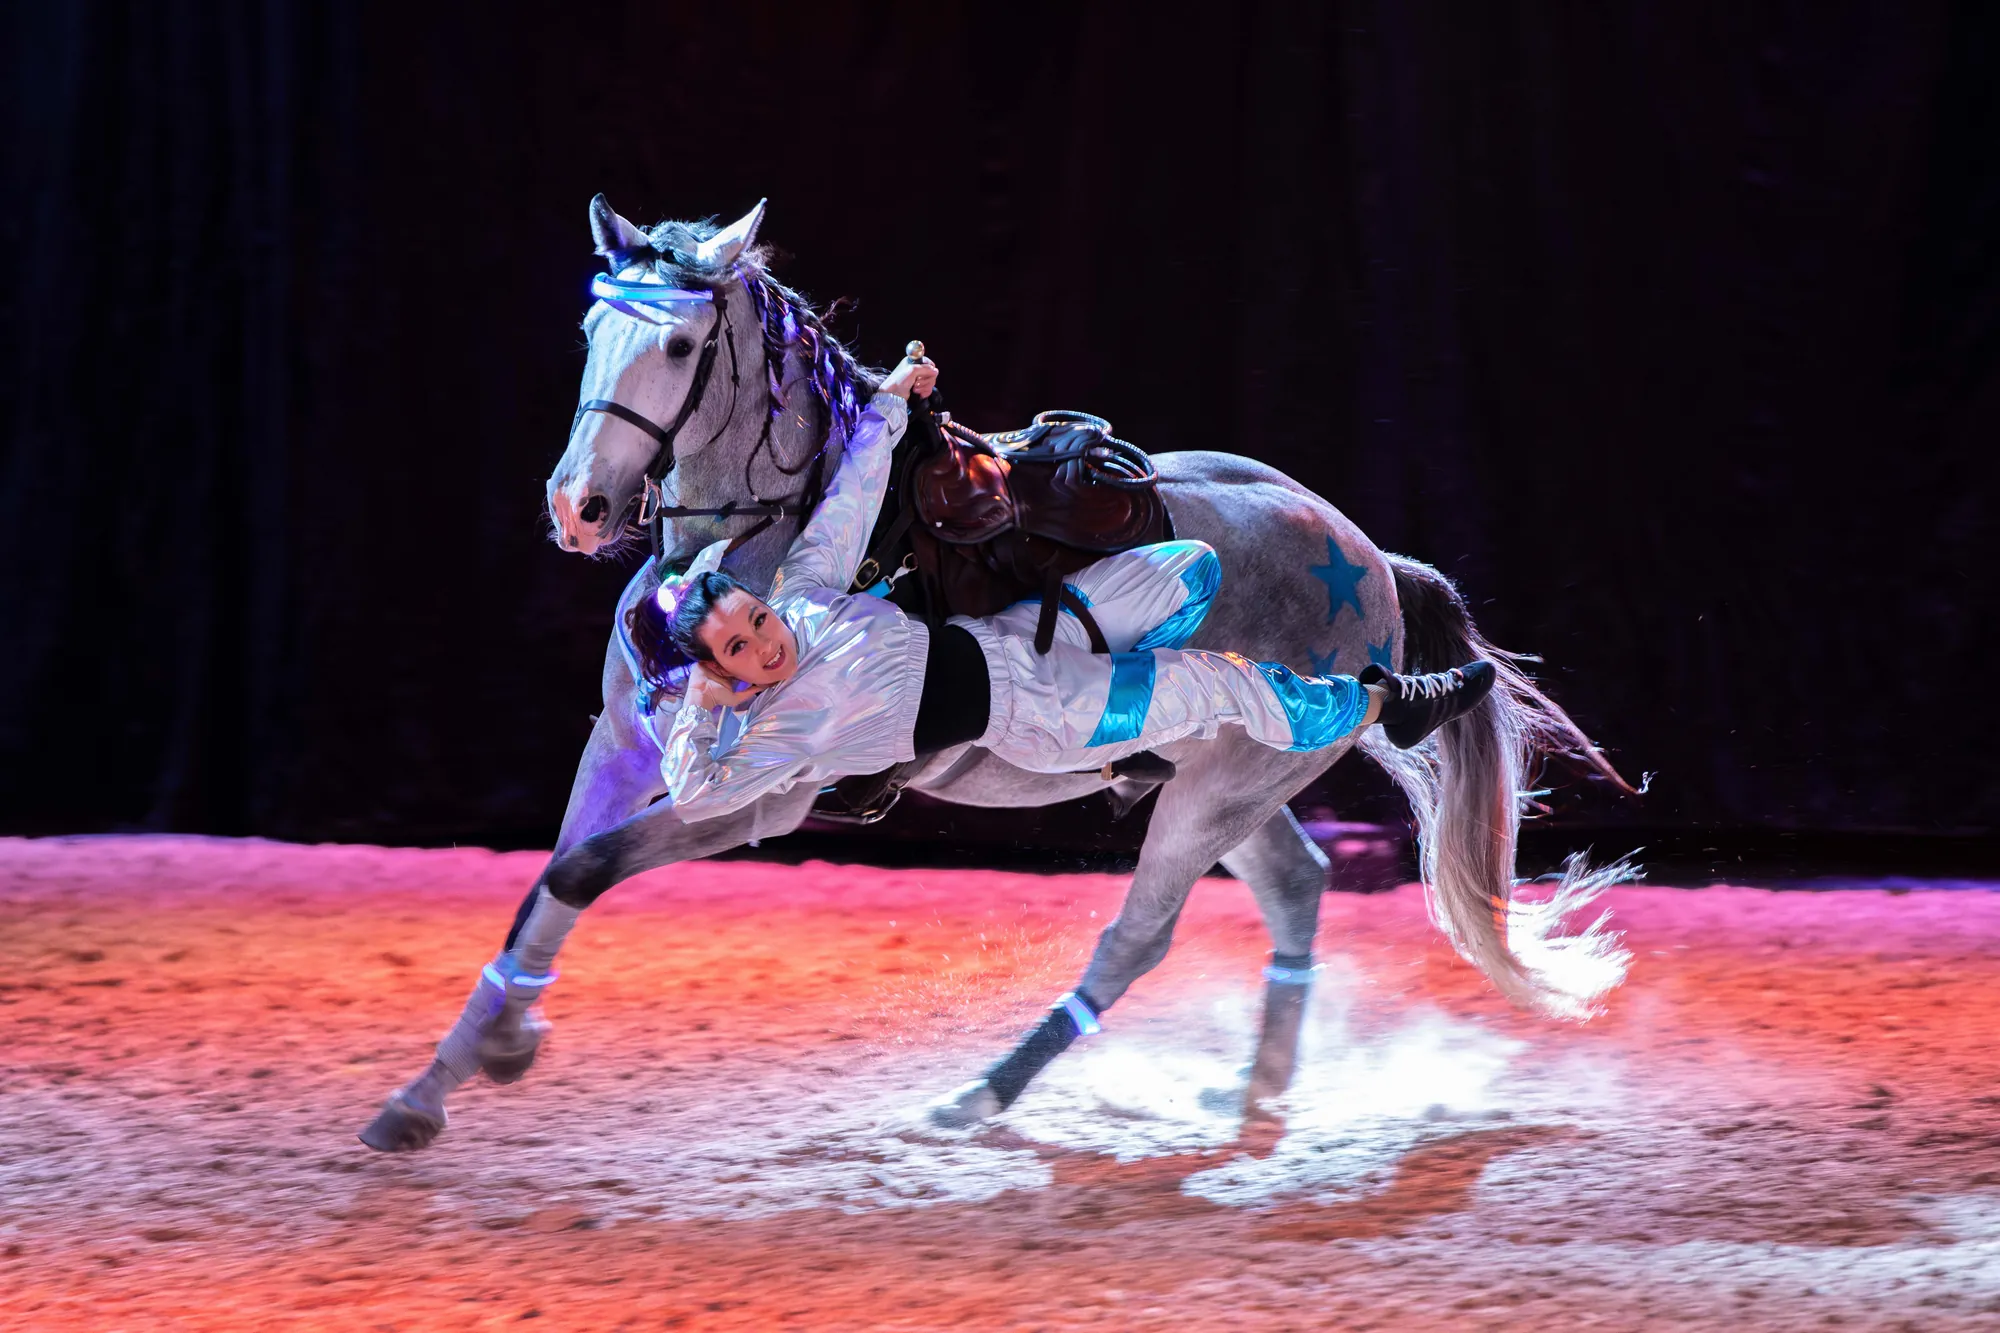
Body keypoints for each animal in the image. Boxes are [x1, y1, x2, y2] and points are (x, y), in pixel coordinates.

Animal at [364, 196, 1635, 1149]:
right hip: (1217, 779)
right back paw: (1253, 1089)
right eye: (594, 334)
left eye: (676, 345)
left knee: (1140, 935)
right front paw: (446, 1077)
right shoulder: (624, 742)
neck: (763, 541)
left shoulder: (759, 798)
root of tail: (1366, 556)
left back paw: (981, 1093)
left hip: (1217, 788)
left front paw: (488, 1056)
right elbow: (550, 879)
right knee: (1295, 885)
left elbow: (583, 871)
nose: (578, 508)